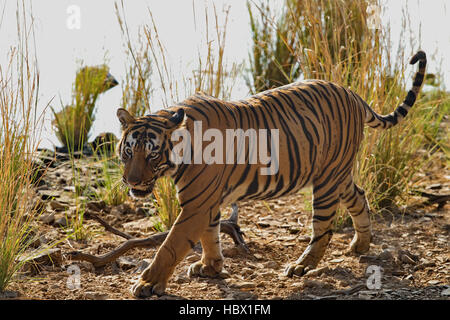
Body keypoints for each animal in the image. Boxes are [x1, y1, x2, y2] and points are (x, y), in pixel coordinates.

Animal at [116, 50, 426, 298]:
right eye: (129, 152)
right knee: (359, 197)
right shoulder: (207, 202)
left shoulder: (197, 204)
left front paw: (147, 284)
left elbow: (170, 245)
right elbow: (210, 236)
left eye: (152, 154)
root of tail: (352, 93)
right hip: (337, 173)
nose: (131, 181)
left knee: (323, 227)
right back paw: (360, 245)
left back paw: (302, 265)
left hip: (327, 182)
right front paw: (210, 267)